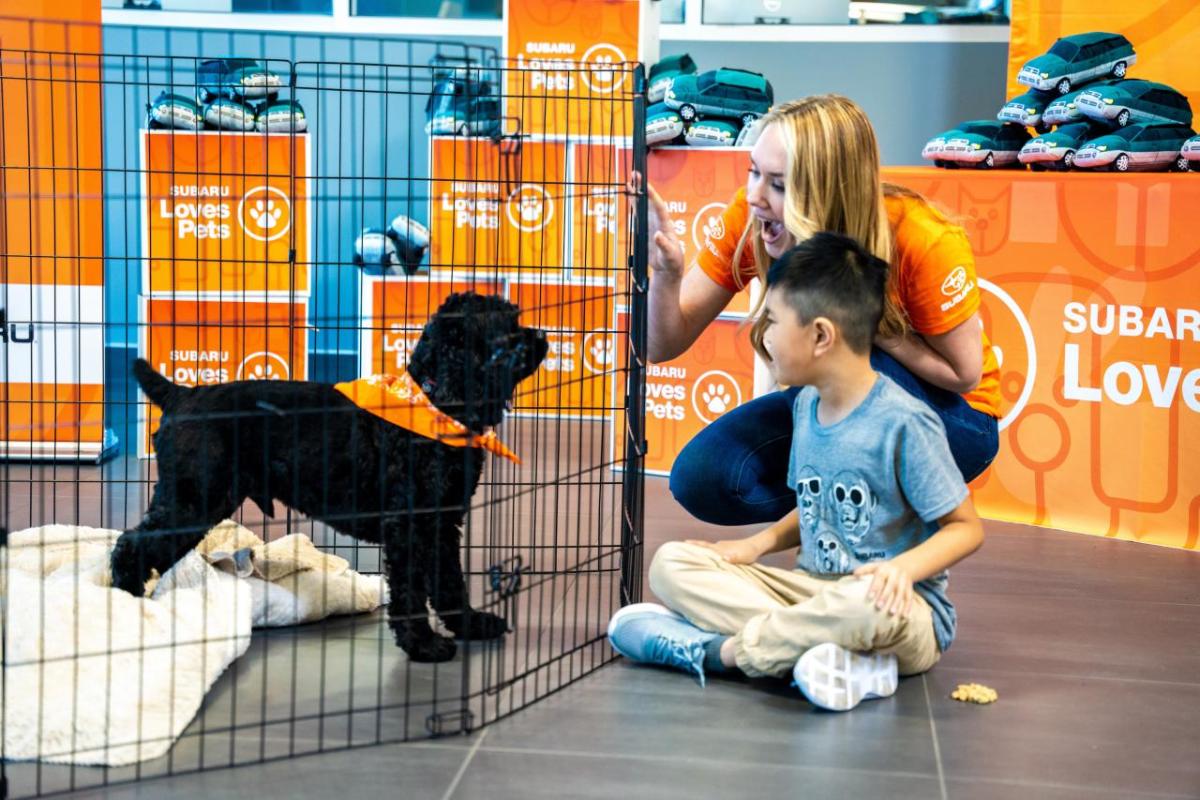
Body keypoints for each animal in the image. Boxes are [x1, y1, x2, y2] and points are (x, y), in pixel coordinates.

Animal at [112, 293, 549, 662]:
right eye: (506, 326)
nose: (544, 336)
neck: (435, 401)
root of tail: (181, 395)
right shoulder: (408, 524)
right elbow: (411, 589)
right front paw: (423, 644)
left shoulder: (443, 522)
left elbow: (450, 581)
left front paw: (471, 624)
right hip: (194, 496)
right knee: (130, 544)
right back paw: (124, 601)